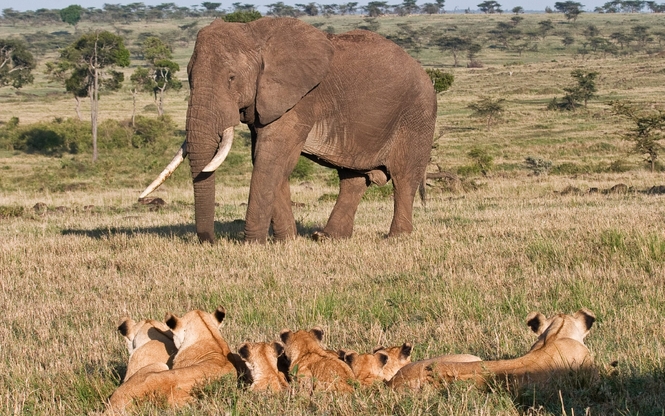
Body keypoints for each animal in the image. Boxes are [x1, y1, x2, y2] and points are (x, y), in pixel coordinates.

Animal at [140, 17, 436, 244]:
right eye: (189, 78)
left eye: (231, 78)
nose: (209, 242)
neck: (255, 35)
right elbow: (266, 158)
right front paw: (286, 241)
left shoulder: (301, 98)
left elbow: (271, 157)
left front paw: (254, 244)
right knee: (352, 179)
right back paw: (326, 238)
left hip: (417, 114)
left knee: (404, 177)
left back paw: (396, 238)